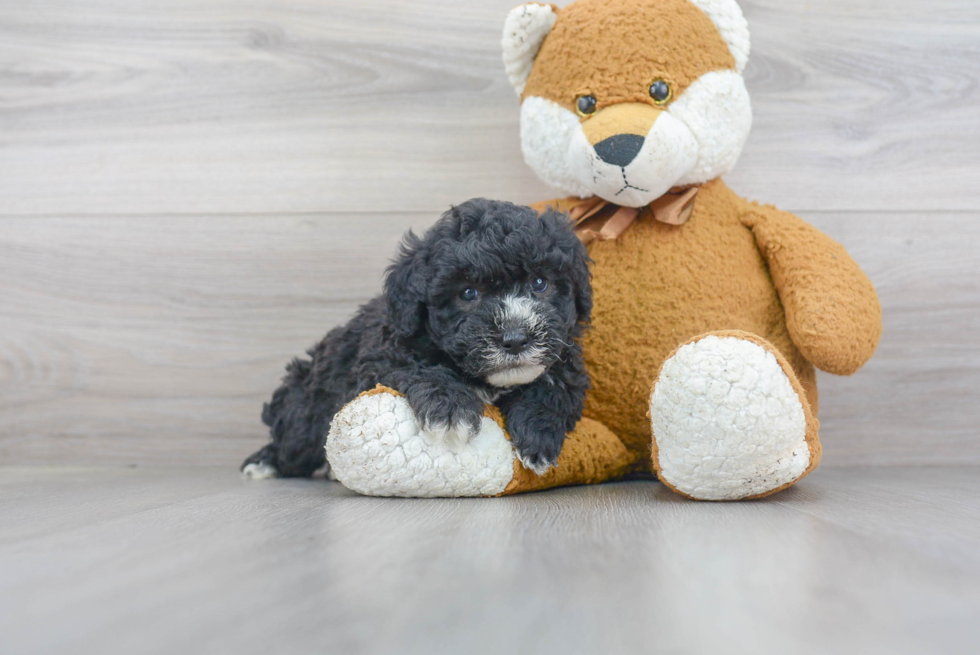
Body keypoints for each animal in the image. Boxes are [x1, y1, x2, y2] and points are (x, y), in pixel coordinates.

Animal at [241, 197, 592, 480]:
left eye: (540, 283)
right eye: (468, 293)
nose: (516, 338)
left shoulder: (567, 358)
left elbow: (554, 385)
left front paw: (537, 437)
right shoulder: (379, 360)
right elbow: (420, 369)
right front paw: (451, 409)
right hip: (304, 413)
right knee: (292, 442)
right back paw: (264, 462)